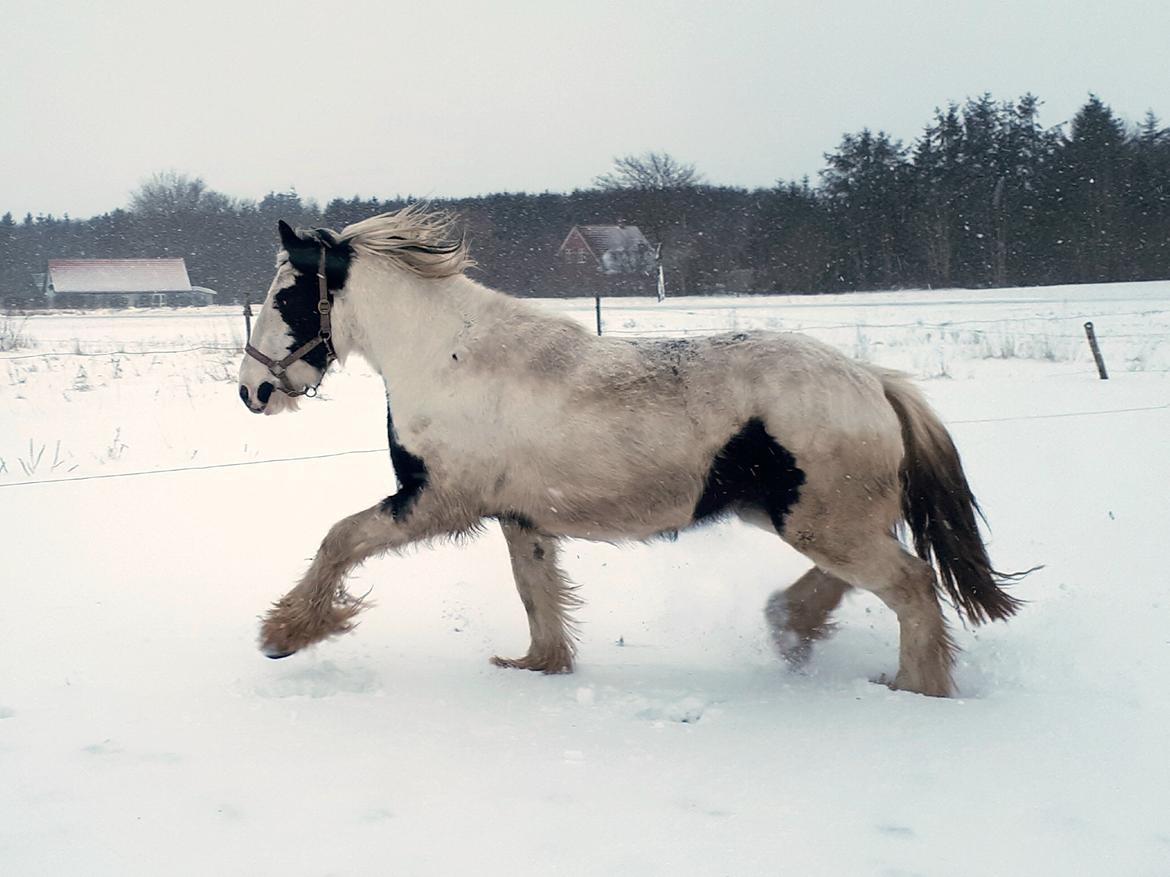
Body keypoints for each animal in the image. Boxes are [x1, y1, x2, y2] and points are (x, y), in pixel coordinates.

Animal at [239, 204, 1024, 701]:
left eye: (286, 296)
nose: (252, 389)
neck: (447, 355)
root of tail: (875, 382)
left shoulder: (437, 500)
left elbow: (340, 538)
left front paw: (284, 633)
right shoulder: (518, 516)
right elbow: (536, 593)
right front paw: (538, 666)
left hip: (823, 523)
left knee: (911, 584)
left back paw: (914, 689)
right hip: (813, 519)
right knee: (865, 580)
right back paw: (793, 630)